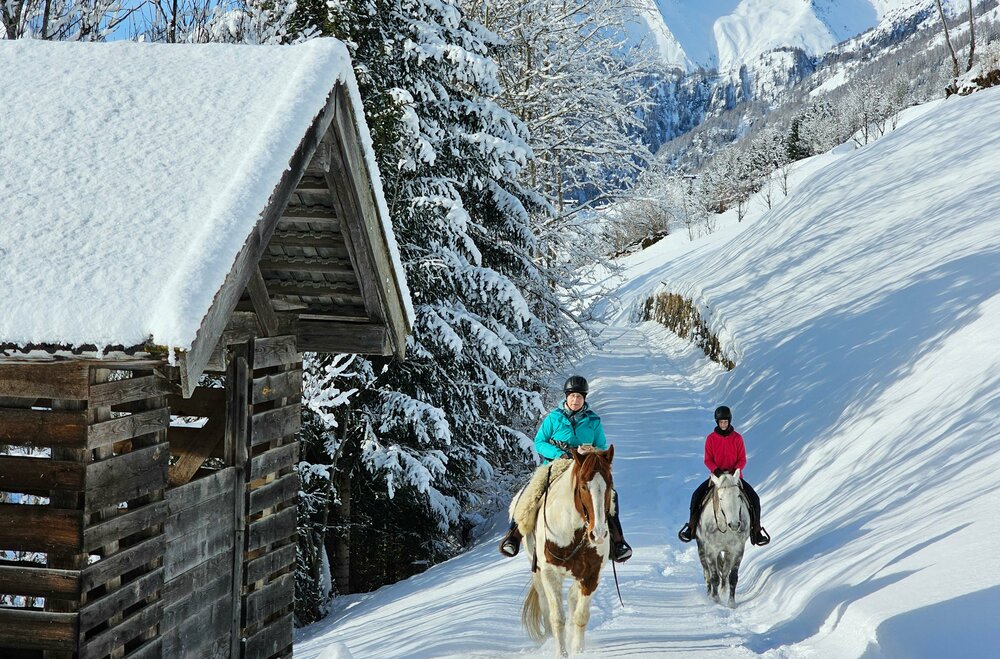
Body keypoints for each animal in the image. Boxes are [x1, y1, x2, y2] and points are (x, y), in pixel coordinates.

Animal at [519, 447, 614, 657]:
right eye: (584, 486)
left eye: (610, 484)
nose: (598, 534)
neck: (573, 532)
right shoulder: (550, 574)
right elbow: (557, 618)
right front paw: (561, 654)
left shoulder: (591, 574)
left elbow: (581, 615)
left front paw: (578, 651)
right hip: (537, 572)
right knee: (545, 606)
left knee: (572, 597)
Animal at [696, 468, 750, 608]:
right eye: (720, 498)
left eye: (738, 496)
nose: (735, 524)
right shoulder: (711, 550)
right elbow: (714, 576)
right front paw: (715, 600)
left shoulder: (737, 550)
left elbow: (732, 577)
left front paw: (731, 603)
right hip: (701, 548)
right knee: (707, 573)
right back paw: (709, 594)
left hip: (727, 552)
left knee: (725, 572)